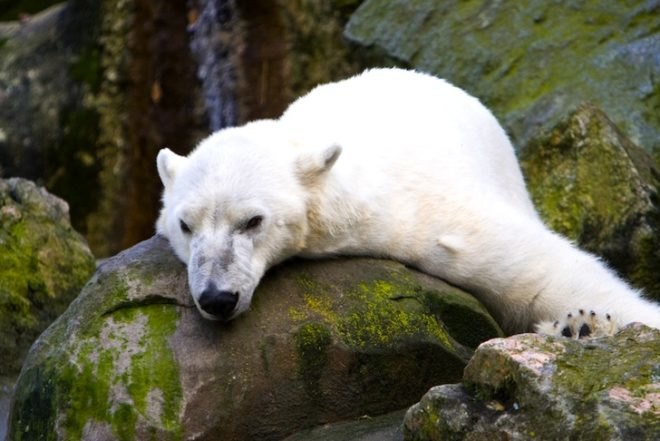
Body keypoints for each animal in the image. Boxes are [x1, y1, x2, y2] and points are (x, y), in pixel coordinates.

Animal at [156, 68, 660, 335]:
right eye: (186, 225)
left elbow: (542, 274)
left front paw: (587, 324)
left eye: (252, 221)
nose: (217, 298)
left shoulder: (433, 219)